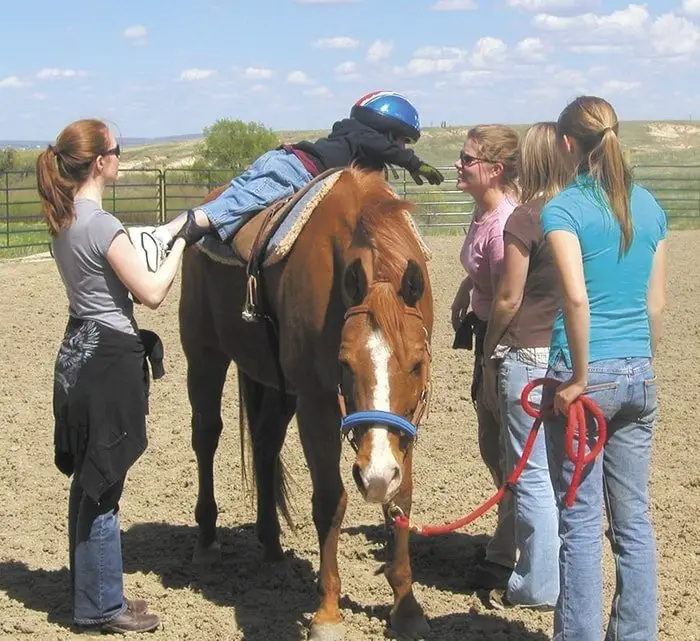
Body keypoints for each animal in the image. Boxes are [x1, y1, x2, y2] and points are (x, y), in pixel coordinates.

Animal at [180, 168, 432, 636]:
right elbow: (330, 501)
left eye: (417, 364)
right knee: (206, 436)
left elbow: (401, 498)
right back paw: (206, 540)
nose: (374, 474)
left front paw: (406, 607)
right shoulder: (315, 403)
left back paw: (272, 546)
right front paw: (328, 612)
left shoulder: (407, 422)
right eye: (344, 363)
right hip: (205, 355)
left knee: (265, 447)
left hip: (276, 387)